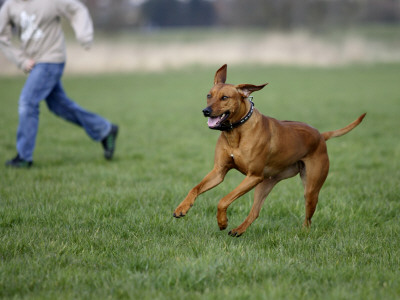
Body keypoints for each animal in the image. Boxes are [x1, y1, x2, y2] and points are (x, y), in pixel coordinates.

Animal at [173, 65, 368, 237]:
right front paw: (182, 208)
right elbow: (195, 188)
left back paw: (303, 233)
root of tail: (320, 134)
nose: (205, 111)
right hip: (265, 183)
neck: (236, 131)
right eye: (209, 95)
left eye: (225, 97)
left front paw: (222, 222)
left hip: (310, 189)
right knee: (255, 212)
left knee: (308, 218)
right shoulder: (219, 171)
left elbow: (224, 200)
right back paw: (239, 230)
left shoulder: (253, 175)